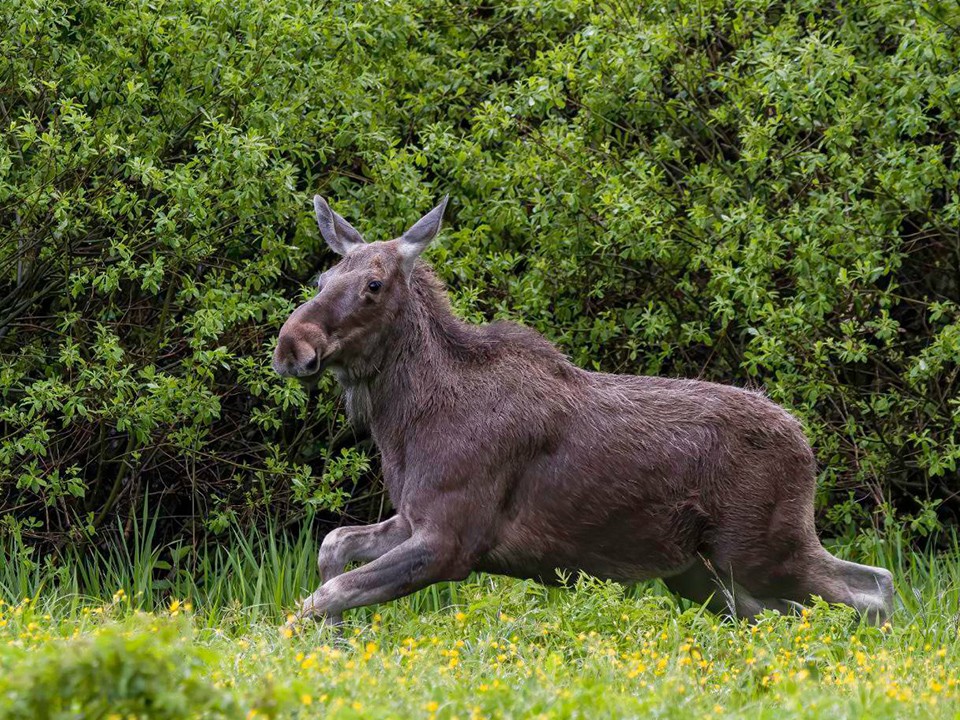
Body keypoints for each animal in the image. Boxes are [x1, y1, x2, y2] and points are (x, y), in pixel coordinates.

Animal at [274, 194, 896, 628]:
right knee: (783, 617)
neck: (404, 424)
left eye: (374, 284)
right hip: (701, 570)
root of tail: (806, 446)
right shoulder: (413, 517)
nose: (291, 347)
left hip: (764, 549)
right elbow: (332, 550)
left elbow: (319, 598)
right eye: (323, 277)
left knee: (875, 588)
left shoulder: (451, 540)